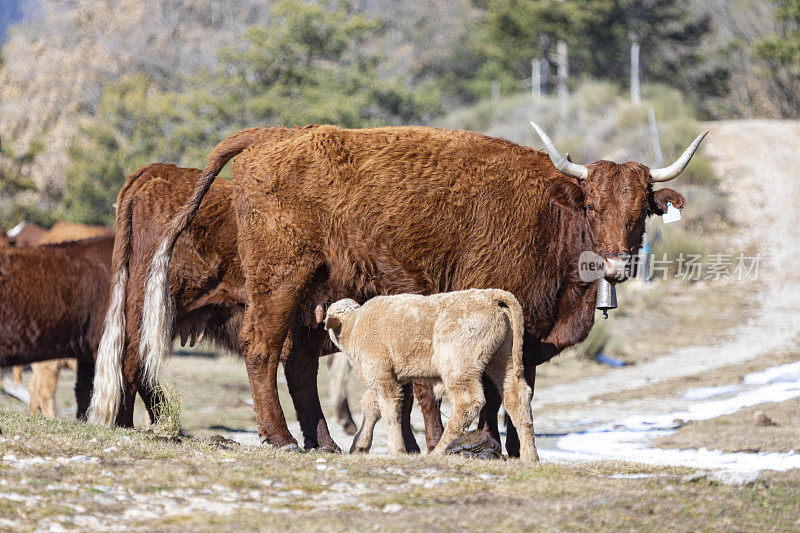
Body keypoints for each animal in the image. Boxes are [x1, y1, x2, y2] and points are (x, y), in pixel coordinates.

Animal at [87, 160, 444, 450]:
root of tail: (159, 172)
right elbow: (413, 394)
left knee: (137, 366)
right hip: (157, 309)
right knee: (133, 362)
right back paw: (126, 424)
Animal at [324, 288, 536, 460]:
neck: (354, 324)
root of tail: (491, 296)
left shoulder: (381, 375)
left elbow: (389, 409)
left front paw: (396, 450)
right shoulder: (388, 377)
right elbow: (371, 405)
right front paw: (359, 446)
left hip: (458, 365)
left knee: (467, 403)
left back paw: (439, 451)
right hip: (504, 360)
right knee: (517, 397)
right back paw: (529, 456)